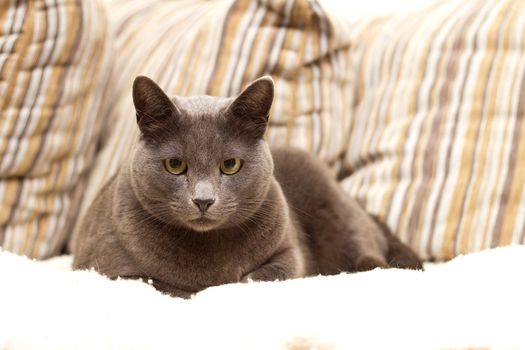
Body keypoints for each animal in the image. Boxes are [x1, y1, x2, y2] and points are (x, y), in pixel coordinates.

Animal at [71, 75, 420, 296]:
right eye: (175, 165)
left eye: (230, 165)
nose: (203, 200)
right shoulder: (107, 268)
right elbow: (160, 283)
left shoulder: (289, 253)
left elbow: (259, 276)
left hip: (335, 209)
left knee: (368, 252)